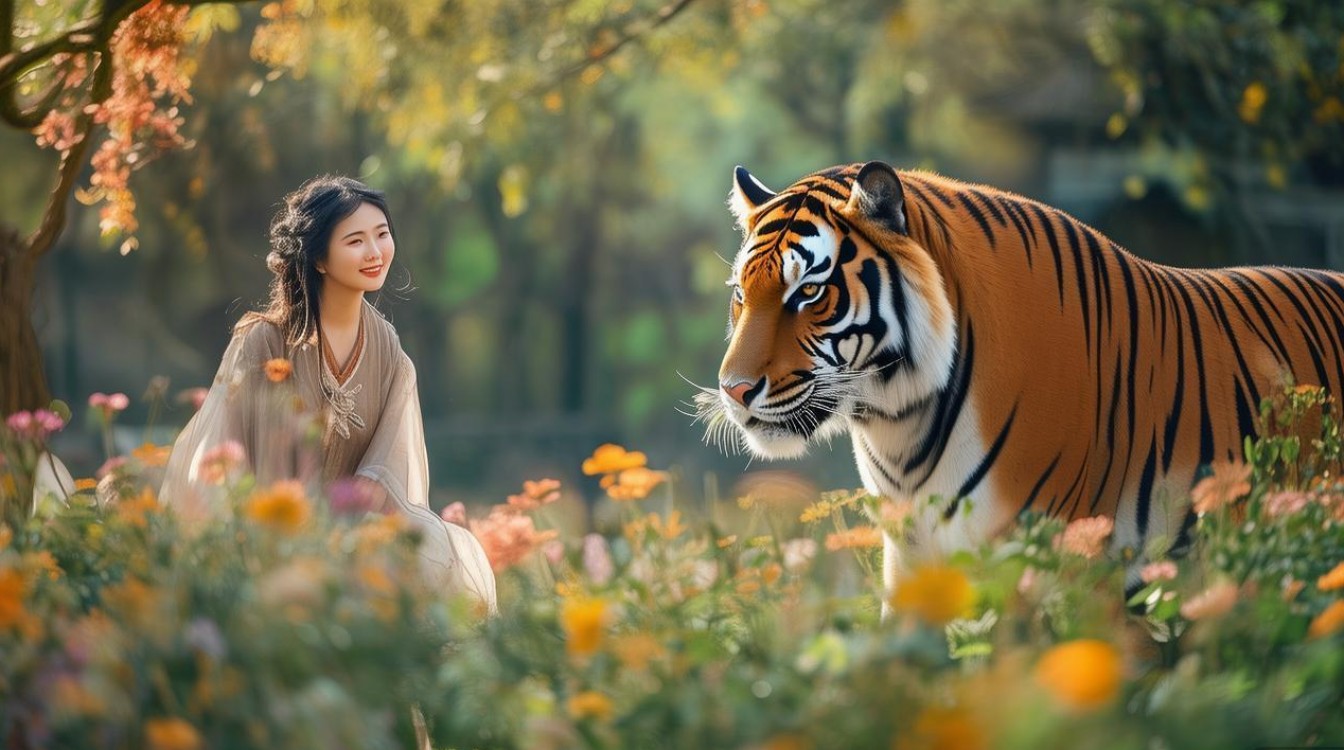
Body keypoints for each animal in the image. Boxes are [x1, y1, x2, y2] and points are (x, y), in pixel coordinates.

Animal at [696, 160, 1344, 598]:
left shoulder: (1045, 558)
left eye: (808, 292)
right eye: (740, 295)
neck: (899, 425)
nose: (734, 389)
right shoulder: (911, 559)